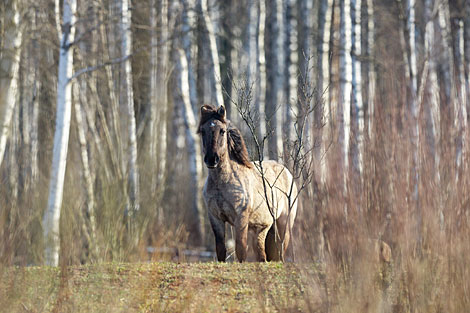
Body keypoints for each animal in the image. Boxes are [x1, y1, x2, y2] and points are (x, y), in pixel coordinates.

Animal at [198, 103, 298, 260]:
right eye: (203, 131)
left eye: (222, 131)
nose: (211, 159)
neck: (223, 183)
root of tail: (286, 172)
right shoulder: (215, 218)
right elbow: (220, 250)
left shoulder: (241, 219)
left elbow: (241, 250)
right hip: (261, 230)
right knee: (262, 255)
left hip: (283, 225)